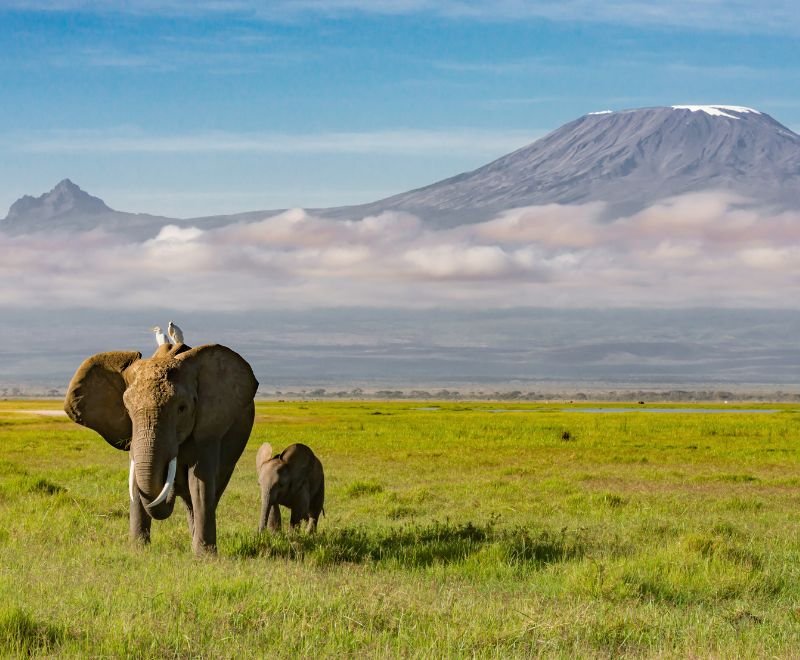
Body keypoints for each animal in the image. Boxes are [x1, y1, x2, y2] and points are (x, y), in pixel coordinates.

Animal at [64, 342, 258, 555]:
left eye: (182, 408)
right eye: (127, 409)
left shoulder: (209, 428)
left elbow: (200, 483)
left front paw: (205, 557)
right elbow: (136, 481)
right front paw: (138, 551)